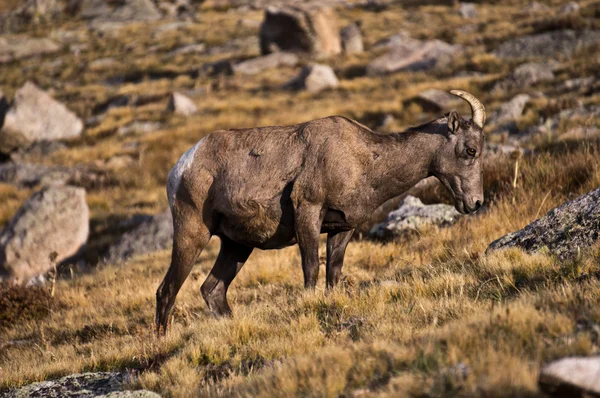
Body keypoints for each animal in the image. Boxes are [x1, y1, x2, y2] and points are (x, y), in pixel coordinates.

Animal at [156, 89, 488, 332]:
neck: (366, 161)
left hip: (236, 246)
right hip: (193, 234)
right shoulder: (309, 213)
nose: (476, 203)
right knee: (166, 291)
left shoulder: (343, 229)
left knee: (212, 290)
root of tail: (182, 166)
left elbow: (333, 273)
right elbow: (312, 270)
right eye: (470, 150)